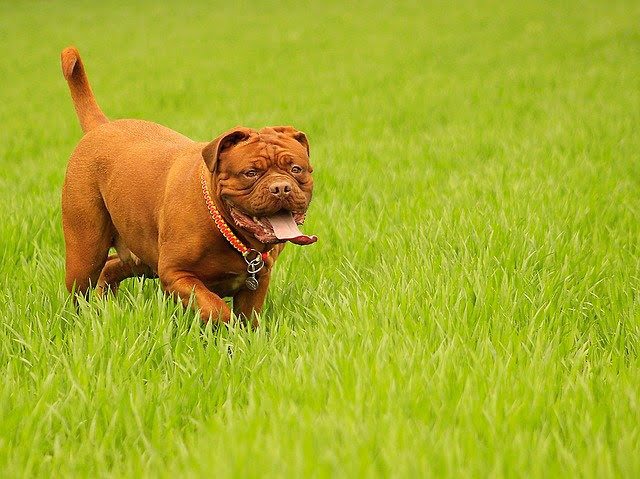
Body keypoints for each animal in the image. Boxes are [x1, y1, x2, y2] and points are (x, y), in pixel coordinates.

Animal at [61, 47, 316, 326]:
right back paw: (78, 320)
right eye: (251, 173)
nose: (281, 188)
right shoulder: (176, 275)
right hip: (86, 251)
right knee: (81, 286)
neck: (229, 229)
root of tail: (102, 126)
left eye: (296, 169)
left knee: (112, 266)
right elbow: (215, 307)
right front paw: (228, 328)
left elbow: (248, 317)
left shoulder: (258, 280)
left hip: (141, 254)